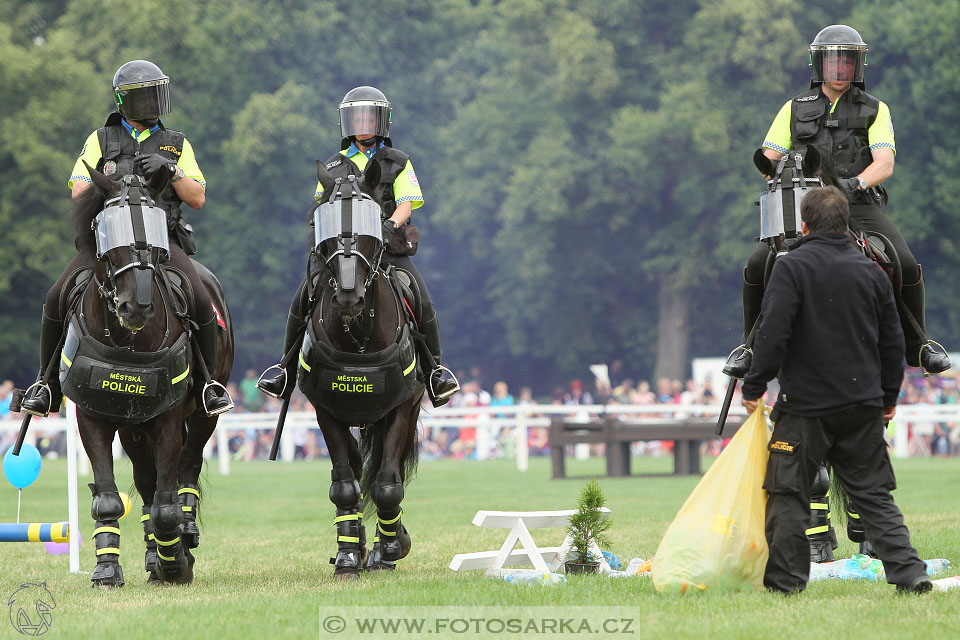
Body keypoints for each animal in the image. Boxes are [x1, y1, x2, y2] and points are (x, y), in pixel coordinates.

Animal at [62, 165, 234, 584]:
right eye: (105, 228)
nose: (136, 306)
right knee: (145, 481)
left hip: (201, 416)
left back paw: (181, 540)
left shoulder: (168, 418)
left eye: (154, 230)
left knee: (184, 472)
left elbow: (166, 503)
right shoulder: (92, 416)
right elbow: (109, 497)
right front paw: (107, 568)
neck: (127, 340)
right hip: (133, 428)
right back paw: (154, 554)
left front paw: (176, 563)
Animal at [290, 160, 422, 580]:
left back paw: (385, 546)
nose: (349, 296)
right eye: (325, 224)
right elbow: (346, 486)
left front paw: (390, 549)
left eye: (371, 223)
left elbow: (387, 485)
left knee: (385, 473)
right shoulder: (326, 412)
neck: (358, 335)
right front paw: (348, 556)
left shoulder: (400, 411)